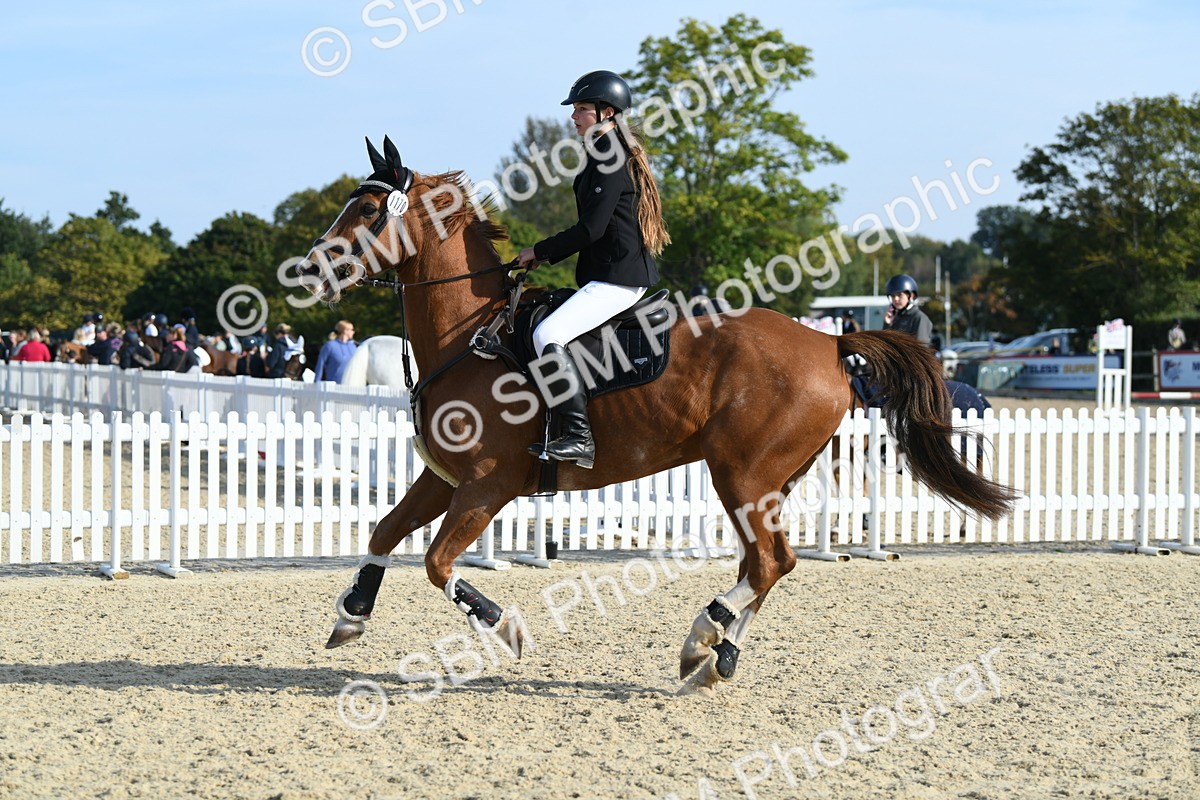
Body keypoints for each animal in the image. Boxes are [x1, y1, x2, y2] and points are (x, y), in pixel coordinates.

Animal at [297, 136, 1015, 696]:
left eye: (367, 208)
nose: (307, 269)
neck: (469, 337)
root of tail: (829, 343)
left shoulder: (485, 486)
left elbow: (438, 564)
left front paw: (506, 627)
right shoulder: (443, 478)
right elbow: (385, 532)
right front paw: (351, 613)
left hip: (742, 476)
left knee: (770, 564)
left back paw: (703, 637)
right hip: (765, 482)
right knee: (761, 565)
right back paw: (715, 657)